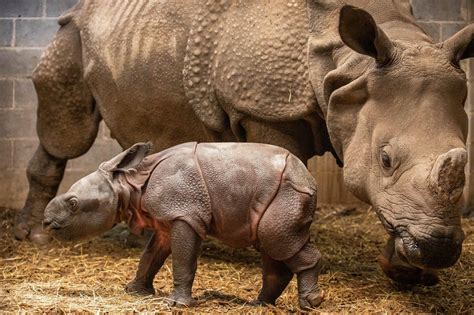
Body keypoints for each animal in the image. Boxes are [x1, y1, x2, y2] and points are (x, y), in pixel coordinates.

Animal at [16, 0, 472, 286]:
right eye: (386, 159)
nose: (438, 248)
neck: (349, 64)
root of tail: (83, 8)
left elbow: (388, 202)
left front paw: (411, 275)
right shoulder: (266, 108)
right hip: (71, 33)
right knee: (66, 130)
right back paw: (36, 238)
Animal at [43, 143, 322, 308]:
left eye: (73, 204)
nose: (46, 222)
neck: (128, 183)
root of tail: (309, 178)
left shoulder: (185, 214)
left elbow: (183, 259)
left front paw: (177, 305)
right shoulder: (167, 220)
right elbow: (150, 256)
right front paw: (135, 291)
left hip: (287, 191)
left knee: (278, 240)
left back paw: (311, 303)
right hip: (277, 193)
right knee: (271, 244)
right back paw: (259, 305)